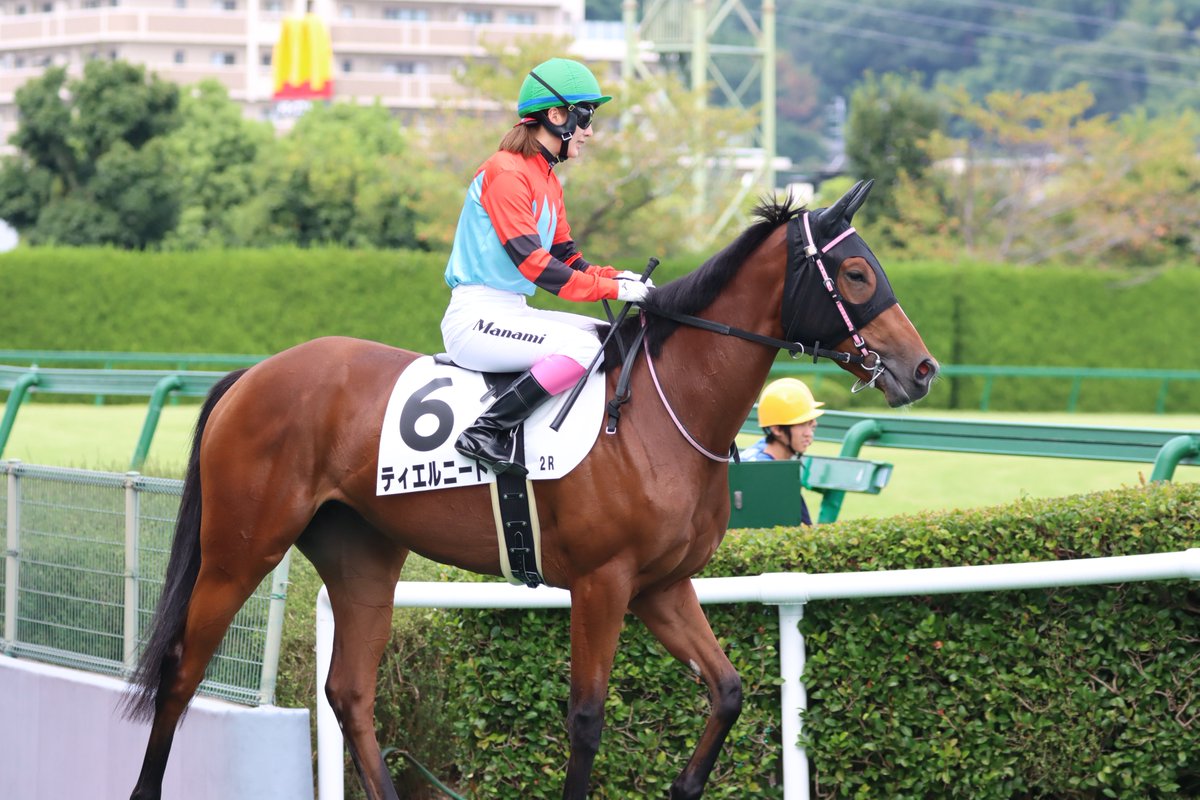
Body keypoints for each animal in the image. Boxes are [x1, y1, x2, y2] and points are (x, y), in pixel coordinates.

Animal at [125, 179, 938, 800]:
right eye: (857, 274)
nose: (922, 369)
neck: (660, 412)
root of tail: (253, 375)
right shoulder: (603, 583)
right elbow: (586, 717)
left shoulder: (662, 586)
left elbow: (729, 689)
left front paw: (686, 784)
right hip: (240, 549)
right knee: (182, 671)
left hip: (363, 557)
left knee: (351, 692)